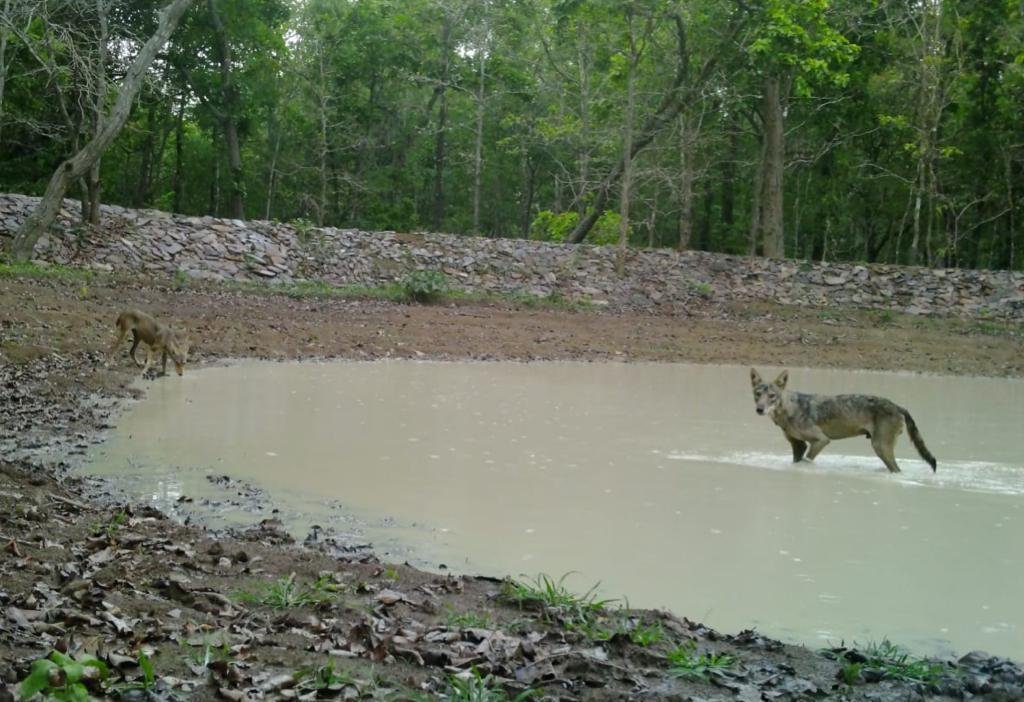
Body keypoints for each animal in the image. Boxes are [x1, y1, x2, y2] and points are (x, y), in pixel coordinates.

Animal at [749, 368, 936, 473]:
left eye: (771, 396)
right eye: (758, 394)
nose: (759, 409)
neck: (789, 408)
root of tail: (898, 406)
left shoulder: (821, 440)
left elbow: (807, 462)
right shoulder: (798, 445)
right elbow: (798, 462)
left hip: (880, 447)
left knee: (897, 470)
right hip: (882, 449)